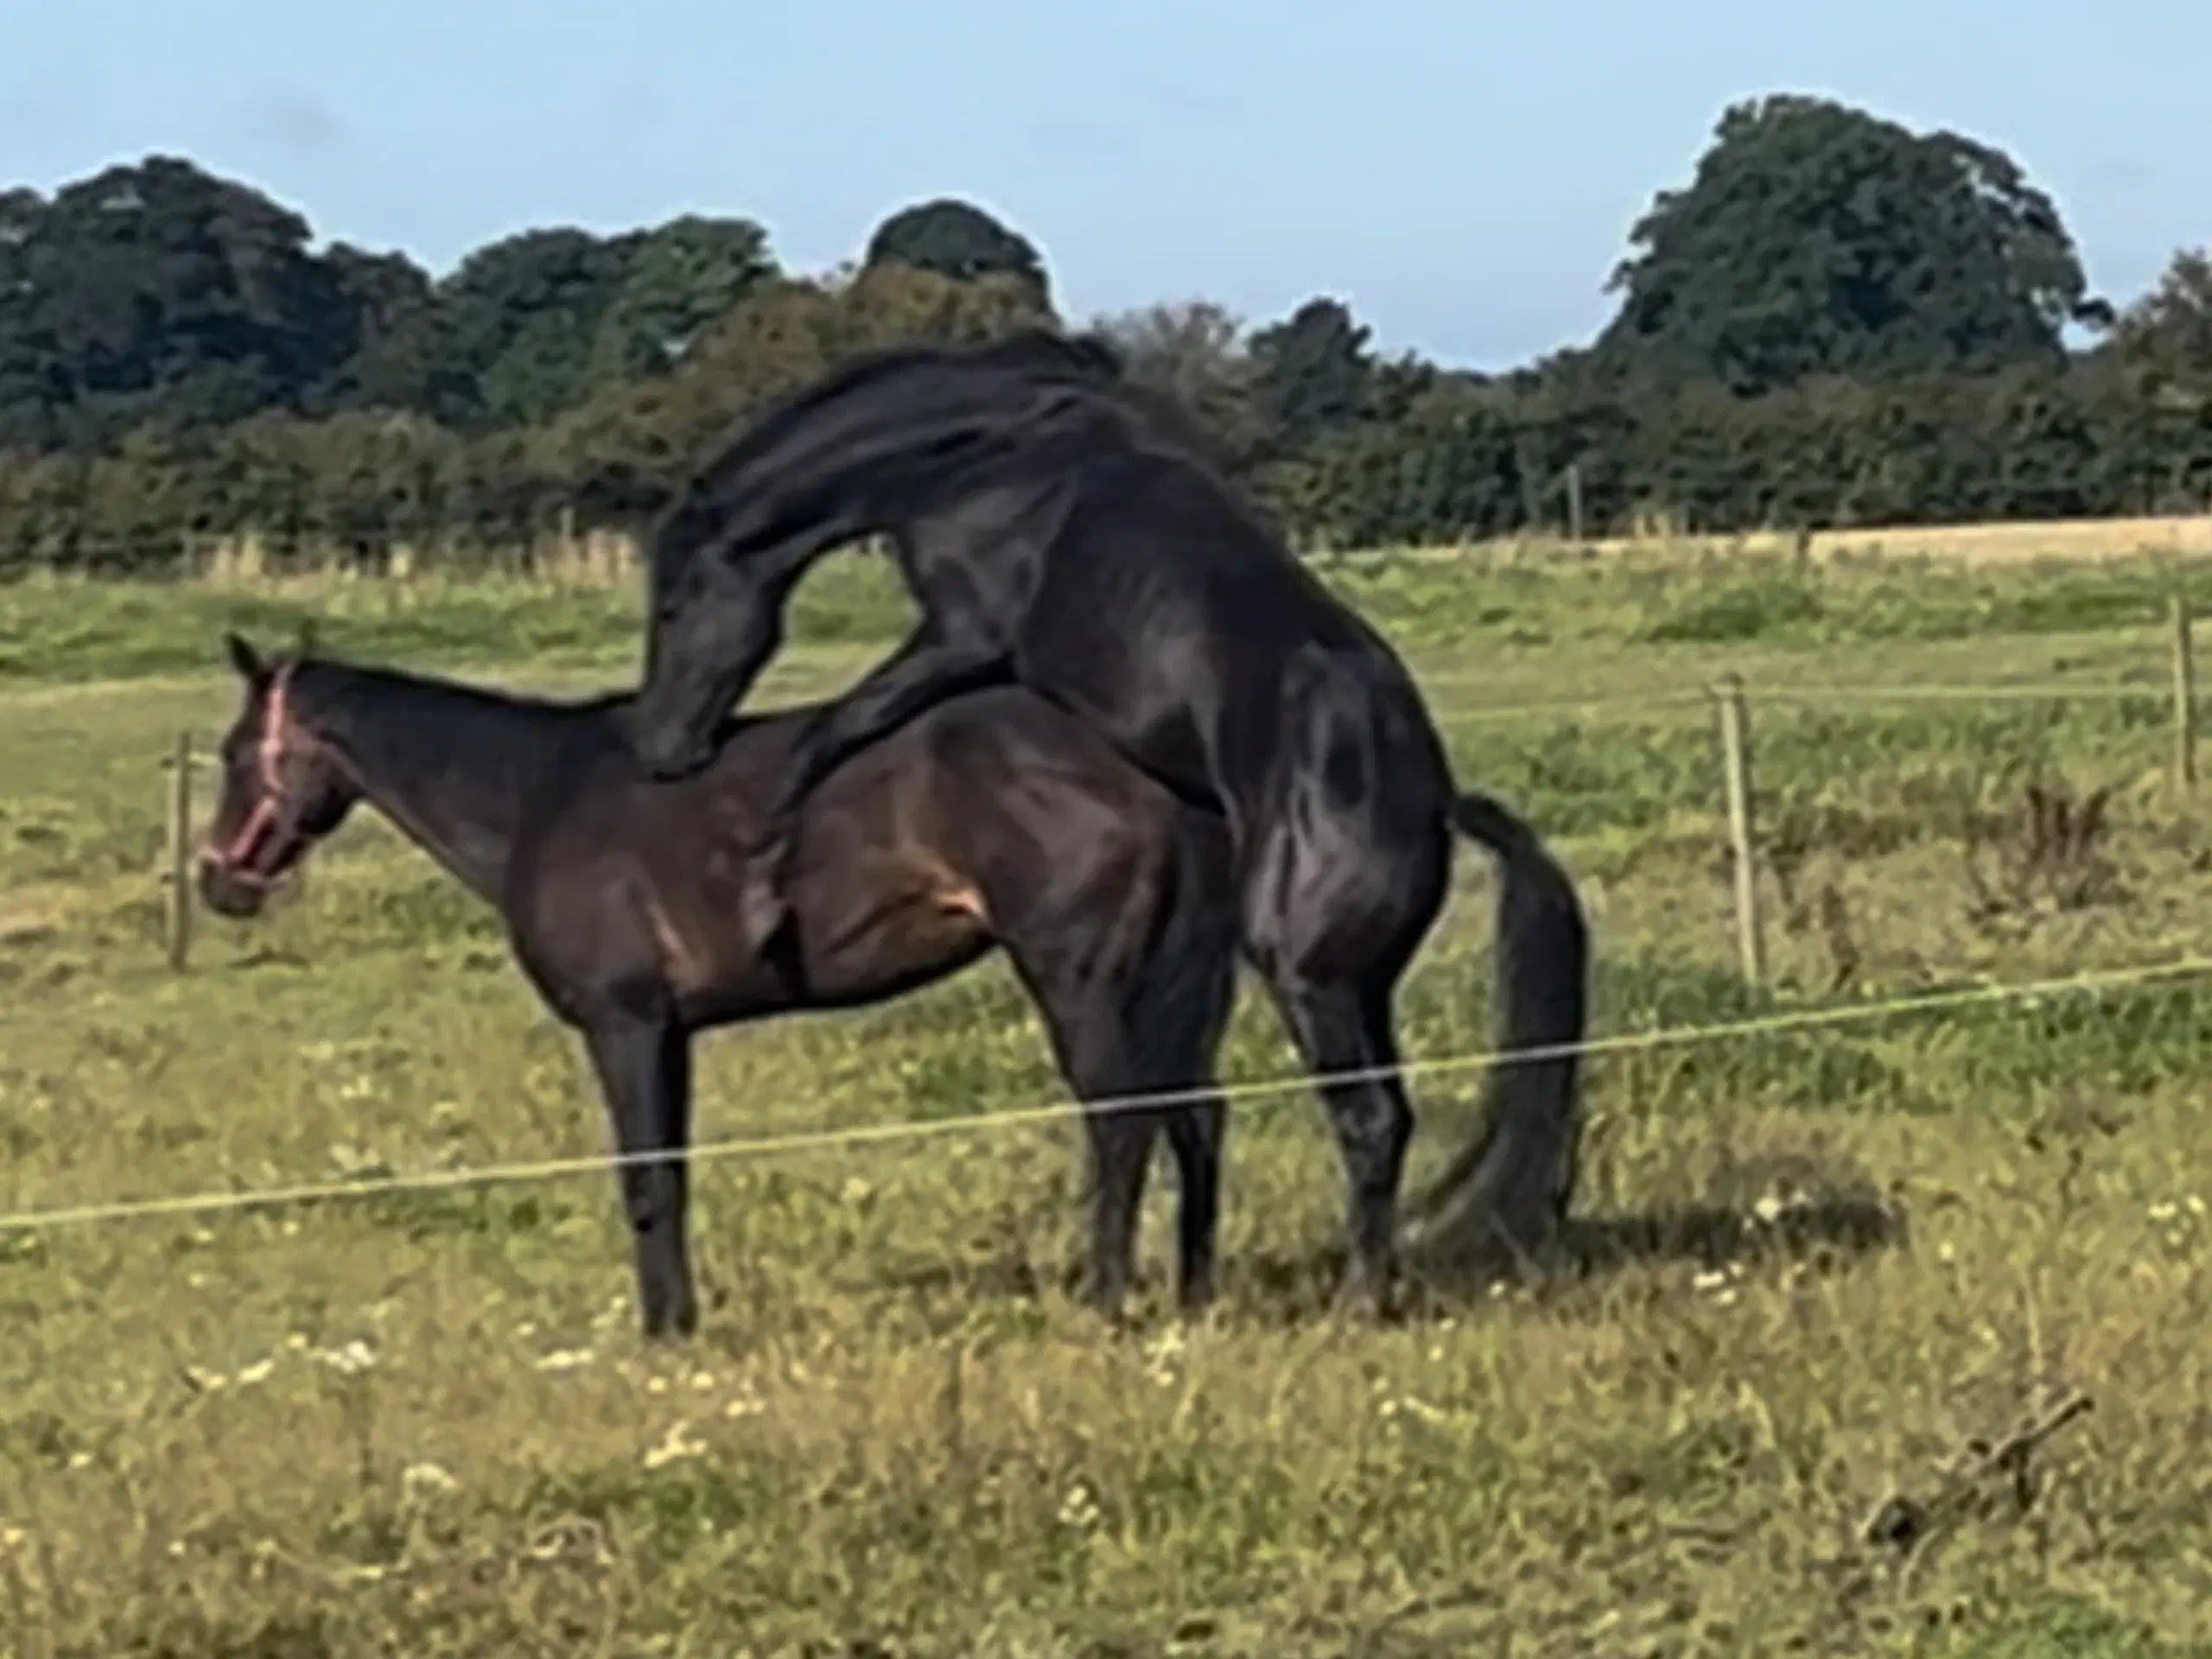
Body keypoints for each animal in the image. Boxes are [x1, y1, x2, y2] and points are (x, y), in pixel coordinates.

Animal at [194, 628, 1592, 1344]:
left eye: (233, 752)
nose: (218, 877)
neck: (541, 795)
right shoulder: (669, 1036)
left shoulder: (627, 1027)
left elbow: (647, 1182)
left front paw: (666, 1334)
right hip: (1178, 983)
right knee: (1196, 1120)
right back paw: (1191, 1296)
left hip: (1080, 973)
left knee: (1124, 1124)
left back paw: (1108, 1304)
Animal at [632, 325, 1583, 1309]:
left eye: (671, 603)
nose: (658, 747)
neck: (1001, 450)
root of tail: (1435, 803)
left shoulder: (958, 640)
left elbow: (826, 739)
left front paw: (759, 889)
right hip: (1362, 988)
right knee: (1379, 1116)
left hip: (1307, 978)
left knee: (1366, 1121)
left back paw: (1358, 1303)